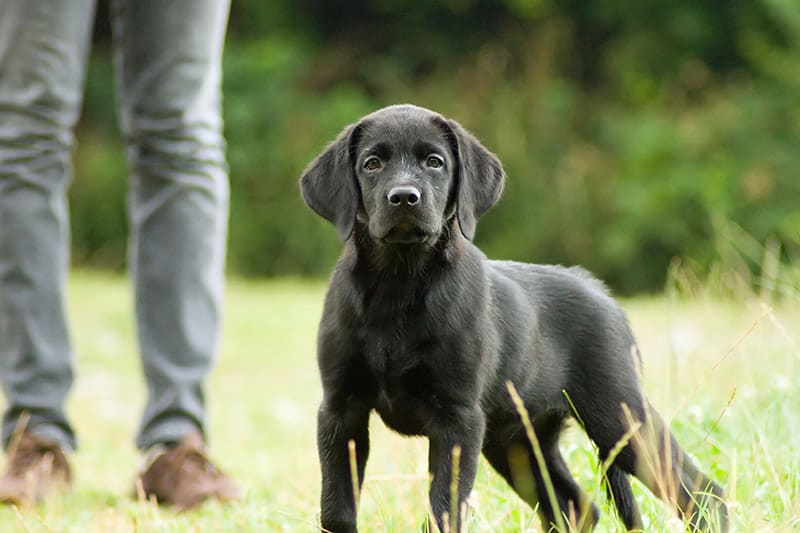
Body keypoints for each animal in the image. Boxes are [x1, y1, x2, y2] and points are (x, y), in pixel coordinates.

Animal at [300, 105, 724, 532]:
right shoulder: (341, 409)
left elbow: (444, 508)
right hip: (517, 441)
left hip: (618, 415)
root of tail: (600, 291)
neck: (399, 285)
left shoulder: (457, 418)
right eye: (372, 164)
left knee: (700, 490)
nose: (404, 197)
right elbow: (337, 507)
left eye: (435, 162)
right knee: (576, 506)